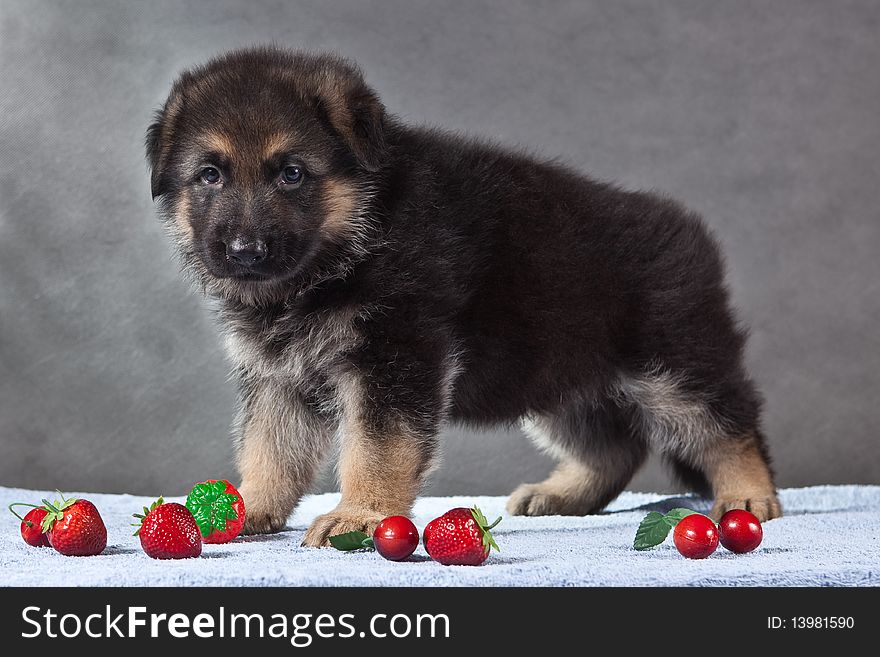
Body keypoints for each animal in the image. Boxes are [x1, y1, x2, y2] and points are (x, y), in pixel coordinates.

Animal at [148, 47, 780, 544]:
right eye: (210, 176)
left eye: (292, 174)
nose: (244, 250)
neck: (353, 242)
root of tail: (688, 234)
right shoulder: (281, 375)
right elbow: (270, 447)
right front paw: (249, 505)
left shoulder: (395, 358)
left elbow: (376, 447)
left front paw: (362, 514)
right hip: (562, 377)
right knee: (614, 447)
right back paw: (563, 496)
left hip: (674, 365)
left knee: (729, 424)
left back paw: (748, 495)